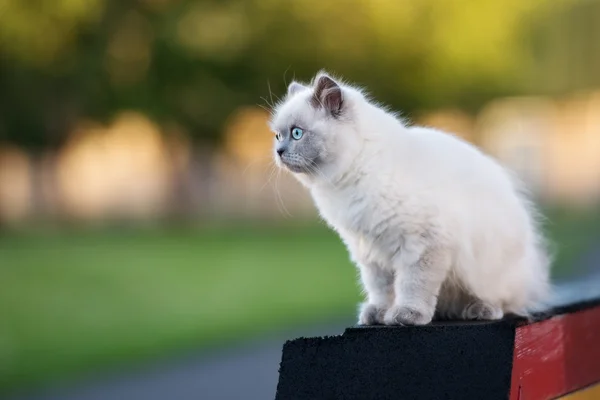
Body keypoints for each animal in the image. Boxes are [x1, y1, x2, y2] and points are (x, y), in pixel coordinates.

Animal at [270, 71, 552, 324]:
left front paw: (407, 315)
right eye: (278, 135)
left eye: (297, 133)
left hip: (485, 271)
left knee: (503, 302)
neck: (348, 180)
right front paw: (379, 315)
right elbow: (381, 289)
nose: (279, 151)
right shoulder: (370, 251)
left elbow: (413, 285)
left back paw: (479, 310)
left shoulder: (422, 244)